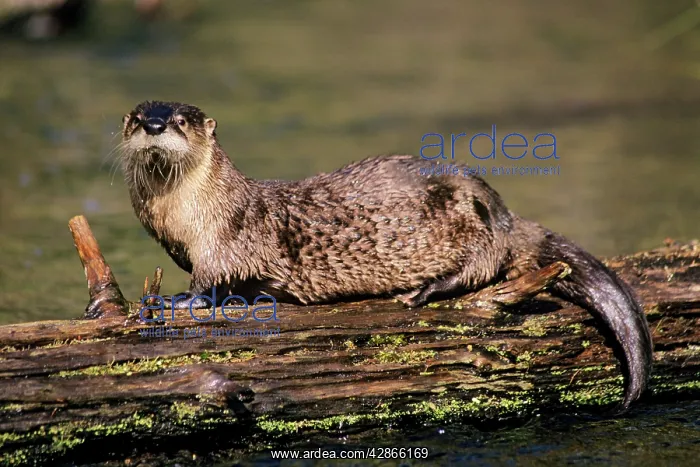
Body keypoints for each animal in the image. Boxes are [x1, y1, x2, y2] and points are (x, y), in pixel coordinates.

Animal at [119, 100, 653, 410]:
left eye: (181, 121)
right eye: (134, 117)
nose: (154, 124)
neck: (187, 218)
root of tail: (500, 209)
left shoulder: (229, 237)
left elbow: (213, 280)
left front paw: (172, 301)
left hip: (469, 221)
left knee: (485, 265)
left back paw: (425, 290)